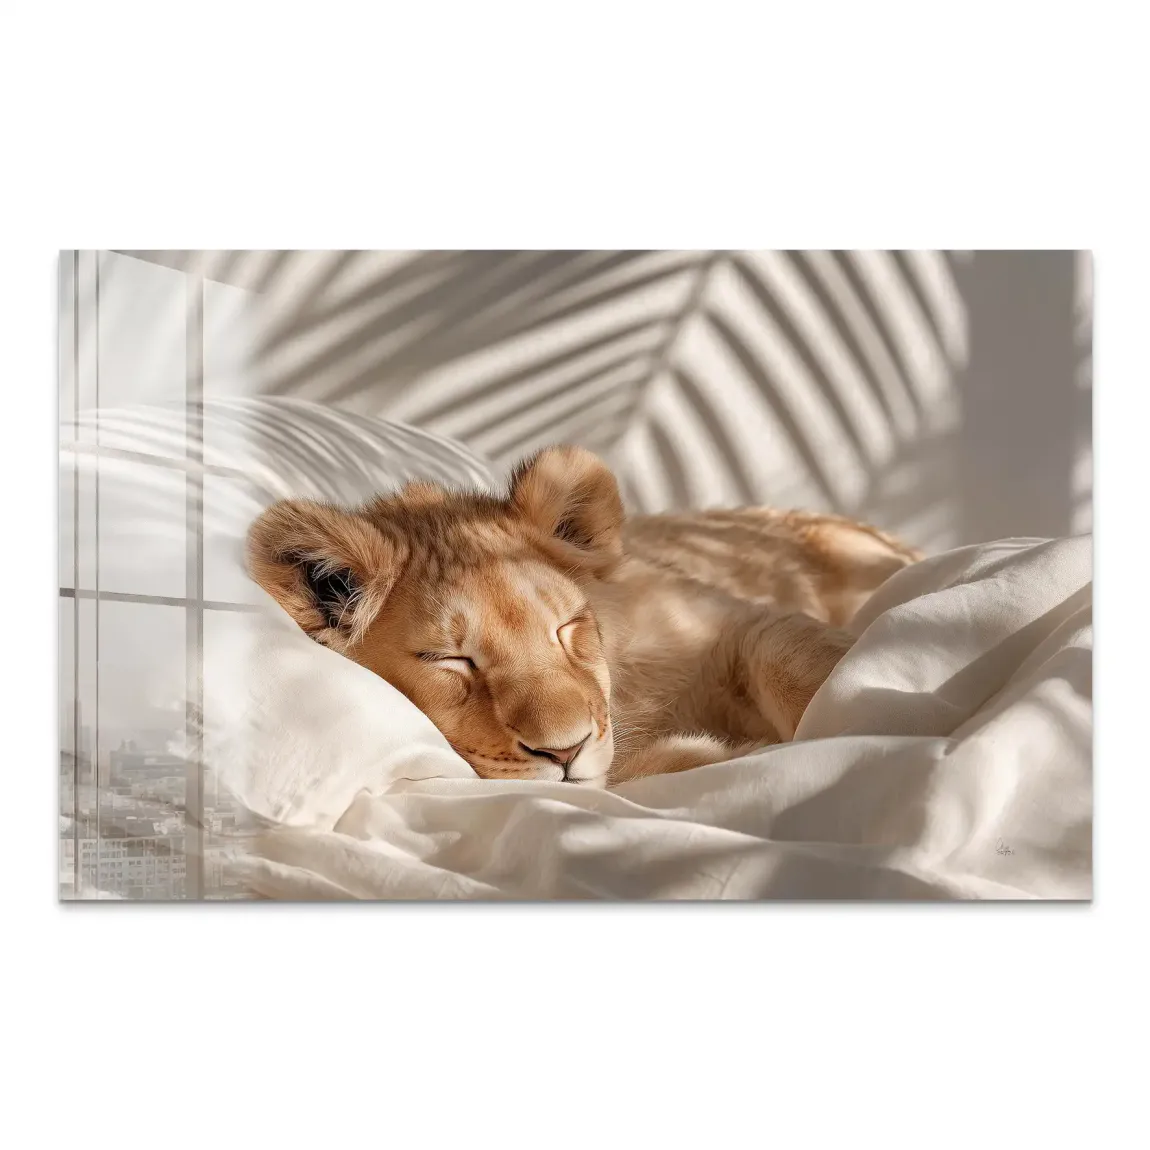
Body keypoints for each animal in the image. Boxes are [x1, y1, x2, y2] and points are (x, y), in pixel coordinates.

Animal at [246, 445, 921, 788]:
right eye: (450, 660)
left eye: (566, 628)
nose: (565, 751)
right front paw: (726, 754)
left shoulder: (726, 619)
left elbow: (791, 655)